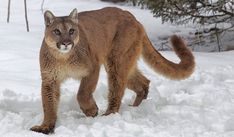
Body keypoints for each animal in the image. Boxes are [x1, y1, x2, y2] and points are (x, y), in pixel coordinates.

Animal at [31, 7, 196, 134]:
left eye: (71, 31)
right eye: (57, 31)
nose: (66, 43)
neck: (63, 58)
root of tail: (131, 16)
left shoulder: (93, 68)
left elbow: (82, 93)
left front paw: (91, 111)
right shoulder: (49, 80)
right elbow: (48, 104)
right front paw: (46, 127)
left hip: (116, 62)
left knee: (118, 90)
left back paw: (109, 114)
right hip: (124, 63)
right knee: (144, 82)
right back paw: (135, 107)